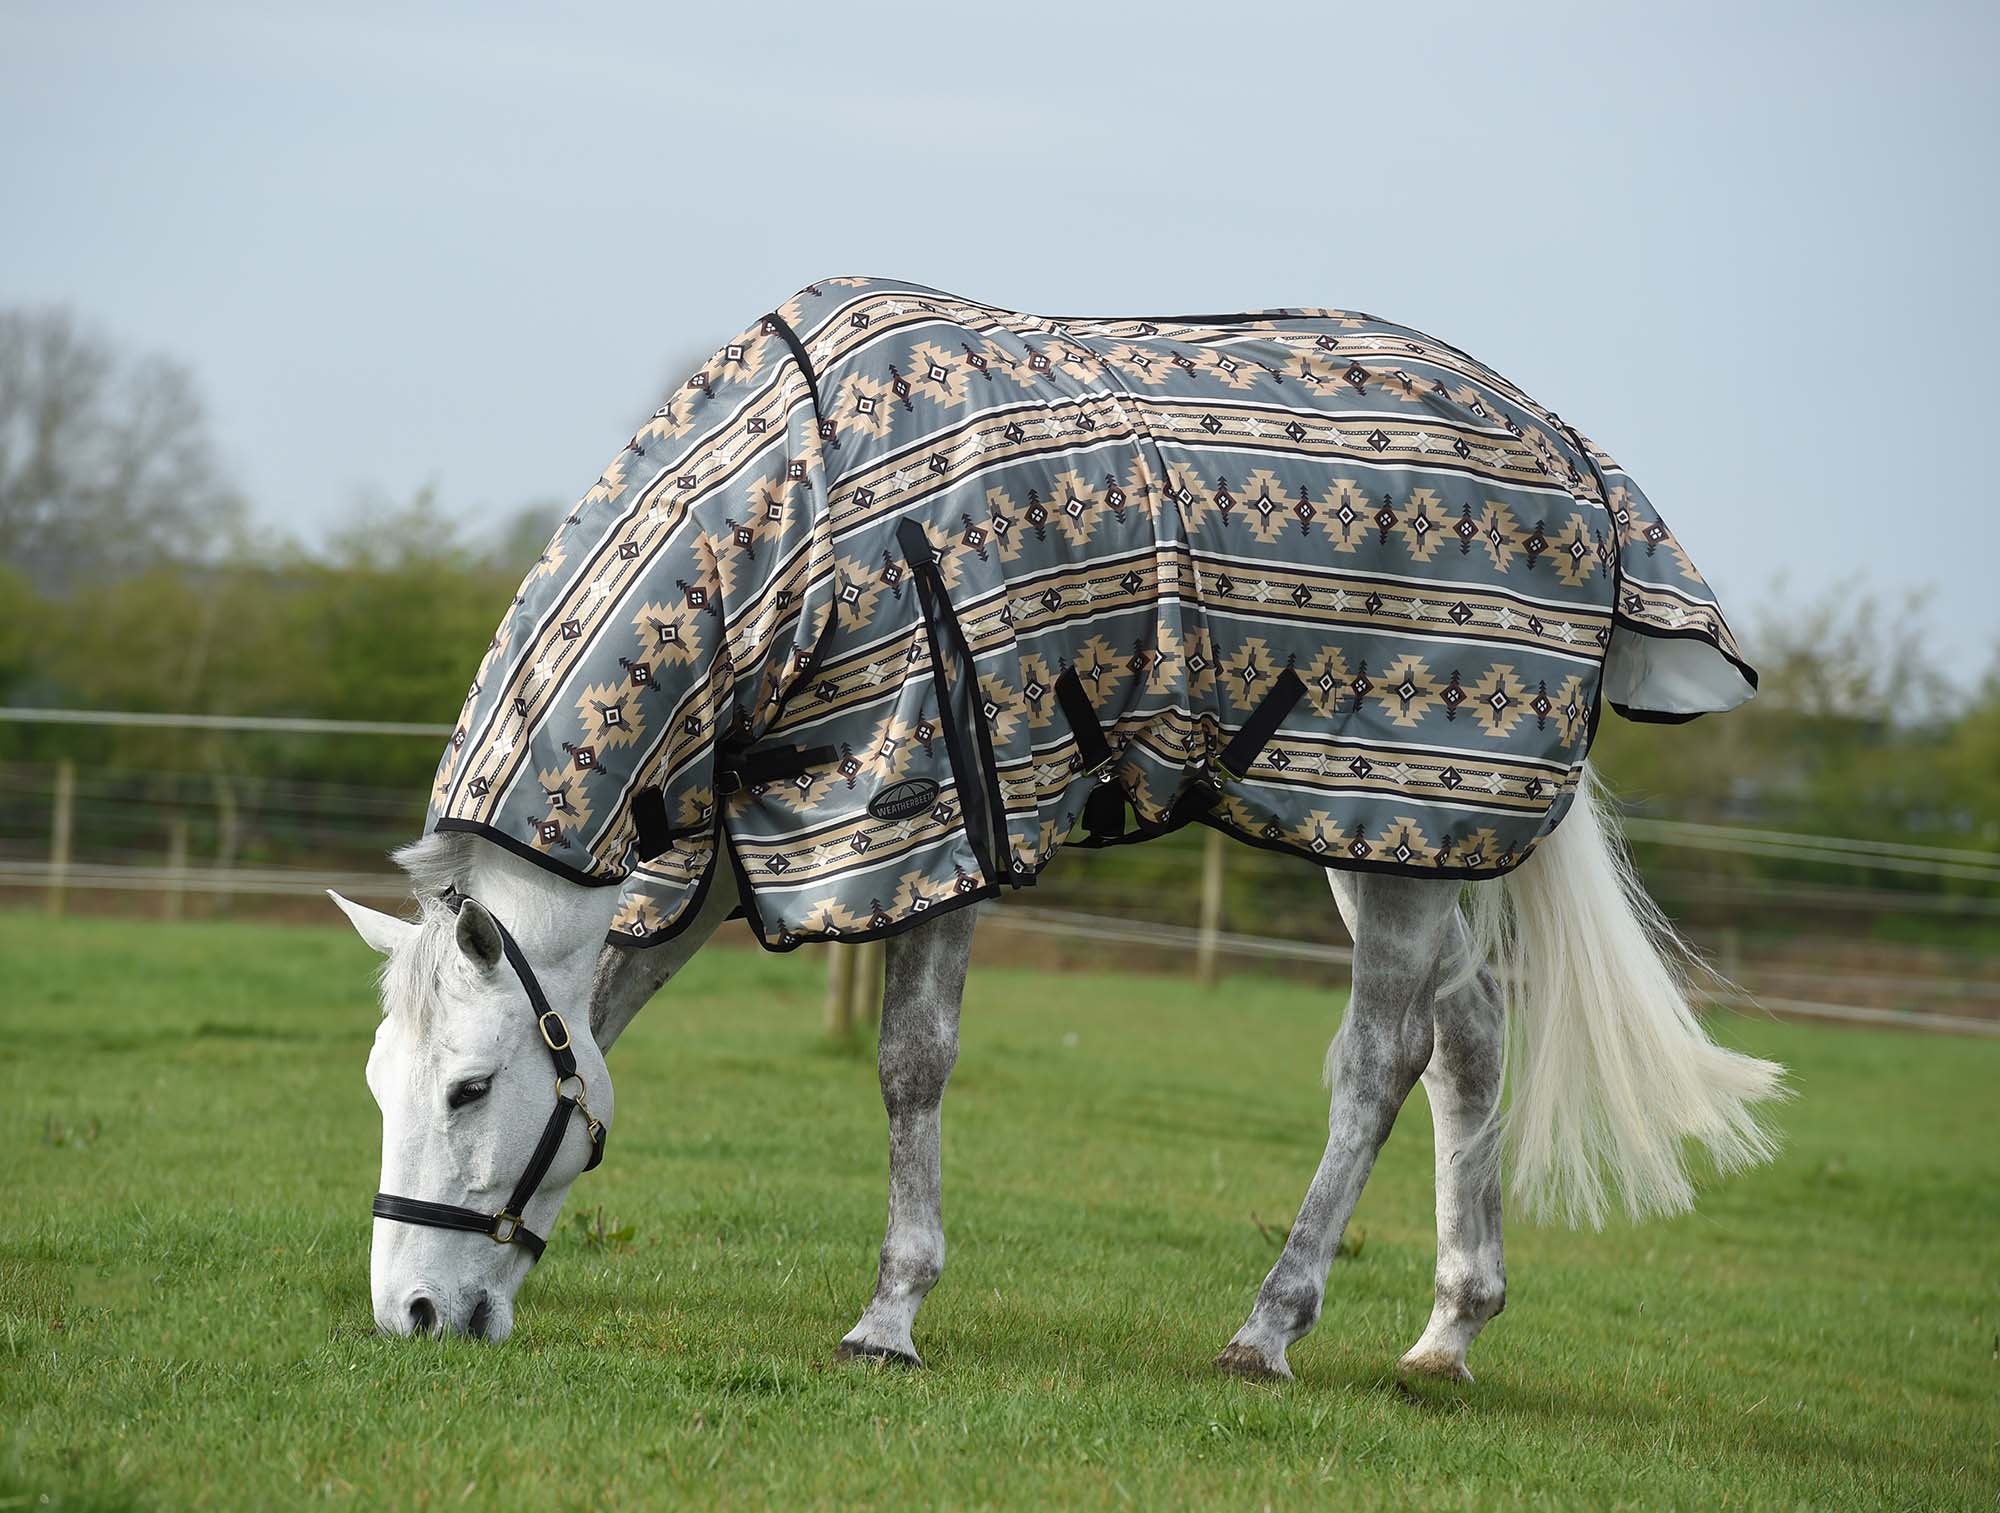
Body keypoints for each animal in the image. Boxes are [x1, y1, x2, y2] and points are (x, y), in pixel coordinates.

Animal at [331, 277, 1786, 1378]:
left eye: (469, 1088)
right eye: (381, 1087)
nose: (412, 1312)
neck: (808, 518)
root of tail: (1571, 455)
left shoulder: (931, 817)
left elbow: (909, 1066)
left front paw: (890, 1315)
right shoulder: (732, 830)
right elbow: (613, 1009)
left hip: (1399, 812)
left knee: (1386, 1058)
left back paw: (1270, 1327)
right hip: (1381, 831)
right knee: (1472, 1036)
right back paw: (1446, 1335)